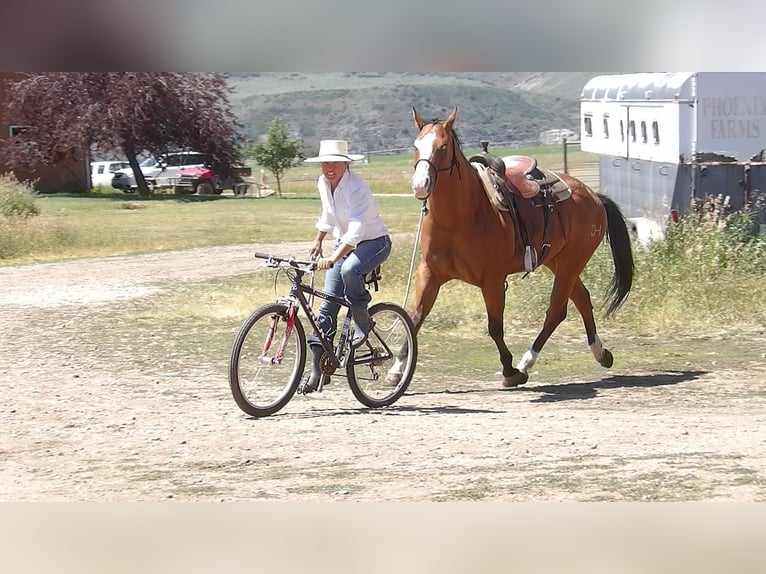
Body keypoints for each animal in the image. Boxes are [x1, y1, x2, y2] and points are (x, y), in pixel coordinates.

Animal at [412, 107, 640, 388]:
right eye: (416, 146)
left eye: (443, 147)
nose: (420, 184)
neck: (461, 216)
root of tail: (594, 196)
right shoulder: (429, 273)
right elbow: (415, 318)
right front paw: (397, 371)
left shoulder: (492, 281)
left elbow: (495, 328)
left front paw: (510, 371)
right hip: (558, 262)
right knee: (582, 300)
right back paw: (601, 353)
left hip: (571, 263)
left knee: (556, 311)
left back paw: (526, 363)